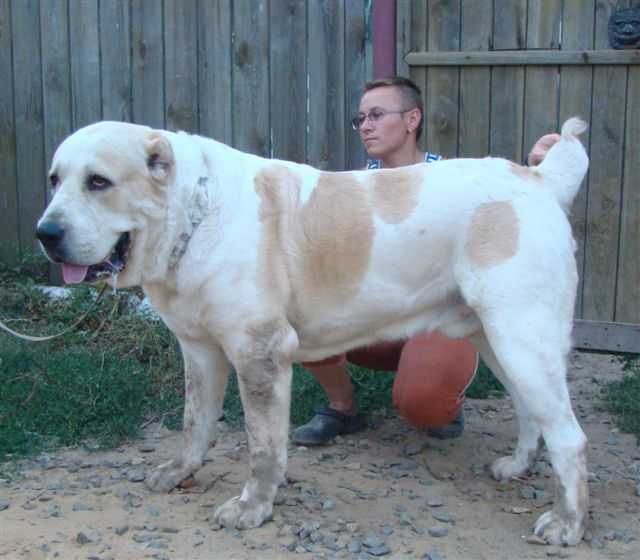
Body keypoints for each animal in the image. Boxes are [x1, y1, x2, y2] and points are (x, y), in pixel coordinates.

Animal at [37, 117, 592, 544]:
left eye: (99, 182)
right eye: (54, 180)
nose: (46, 233)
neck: (194, 214)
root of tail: (538, 178)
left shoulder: (260, 353)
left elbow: (262, 446)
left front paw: (253, 507)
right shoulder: (199, 350)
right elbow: (195, 423)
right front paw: (180, 473)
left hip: (521, 339)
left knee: (569, 436)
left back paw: (567, 523)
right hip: (499, 341)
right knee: (531, 412)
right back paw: (517, 467)